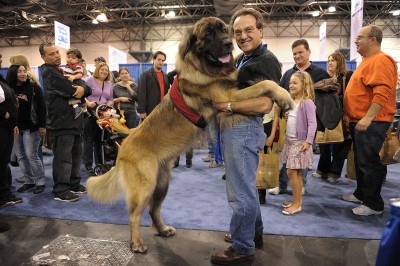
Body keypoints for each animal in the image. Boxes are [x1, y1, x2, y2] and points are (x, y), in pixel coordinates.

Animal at [87, 16, 294, 254]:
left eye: (225, 30)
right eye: (209, 35)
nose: (229, 44)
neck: (206, 68)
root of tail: (123, 148)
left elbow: (259, 82)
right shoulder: (228, 96)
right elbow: (265, 83)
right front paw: (285, 96)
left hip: (161, 184)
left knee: (153, 210)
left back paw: (163, 230)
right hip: (144, 187)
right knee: (134, 216)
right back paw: (136, 243)